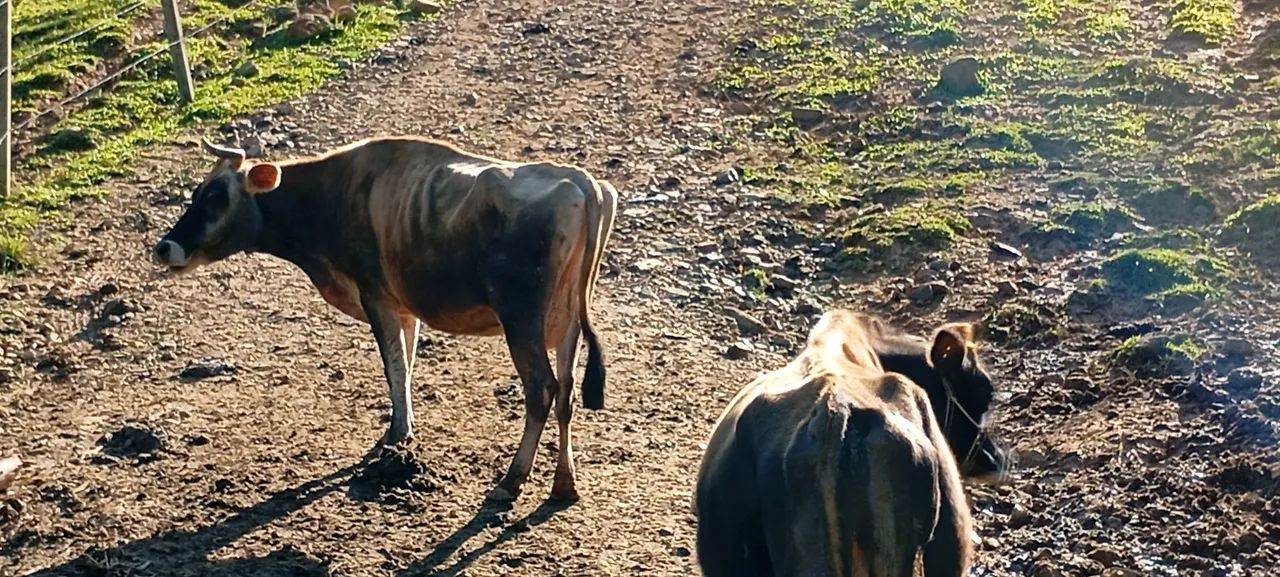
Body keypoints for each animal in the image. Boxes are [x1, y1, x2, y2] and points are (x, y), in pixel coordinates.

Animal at [153, 137, 618, 502]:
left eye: (216, 197)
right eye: (197, 193)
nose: (164, 247)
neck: (334, 194)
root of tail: (582, 181)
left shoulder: (375, 296)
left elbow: (393, 366)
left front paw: (395, 436)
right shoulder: (404, 305)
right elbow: (406, 365)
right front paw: (401, 431)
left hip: (522, 319)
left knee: (542, 389)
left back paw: (511, 481)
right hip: (566, 320)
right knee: (566, 392)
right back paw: (563, 485)